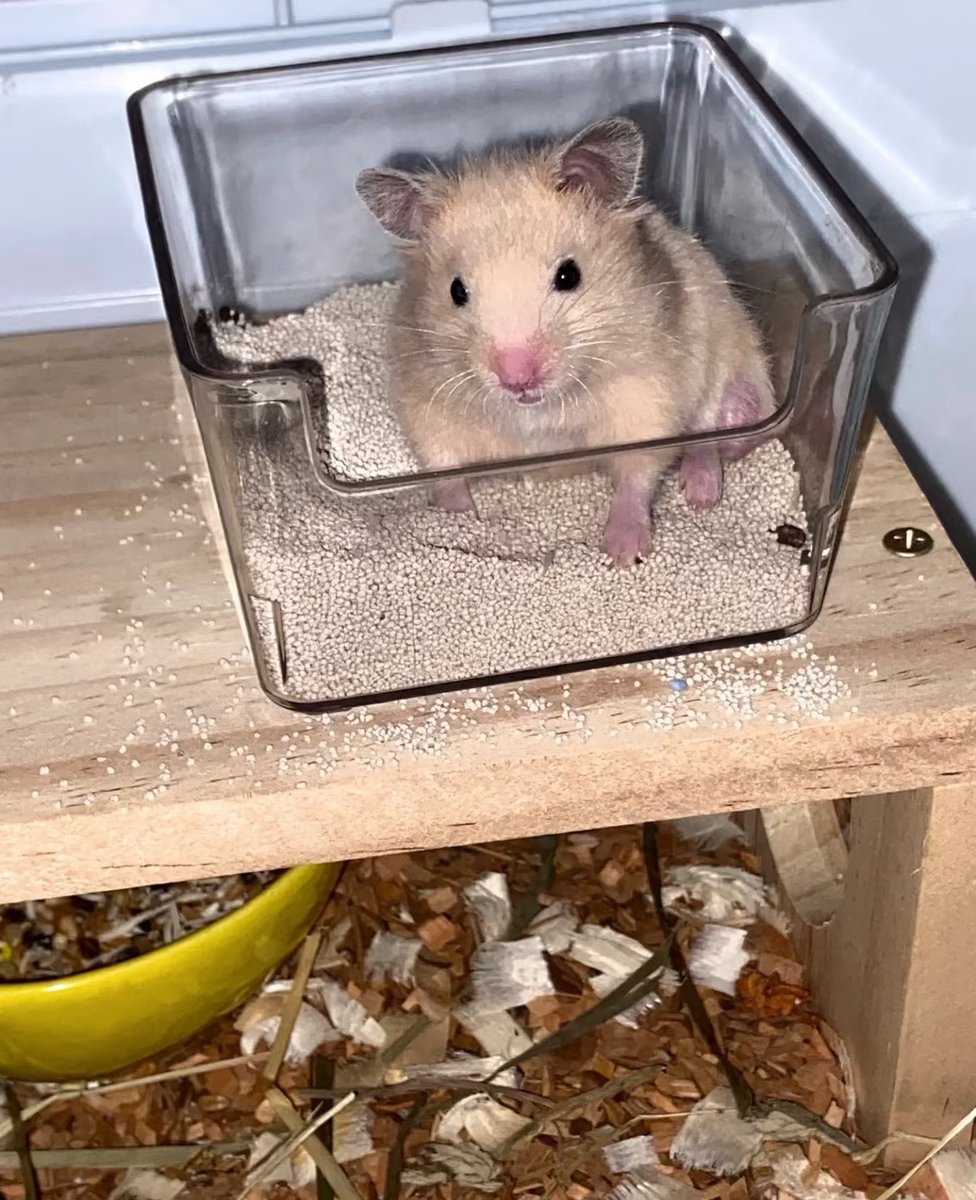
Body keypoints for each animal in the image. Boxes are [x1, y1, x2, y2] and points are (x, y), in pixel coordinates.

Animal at [356, 117, 775, 566]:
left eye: (569, 275)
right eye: (456, 291)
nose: (517, 379)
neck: (538, 411)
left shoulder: (648, 396)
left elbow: (638, 472)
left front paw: (624, 553)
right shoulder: (426, 403)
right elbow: (444, 469)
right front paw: (460, 522)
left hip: (729, 360)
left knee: (710, 435)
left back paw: (701, 495)